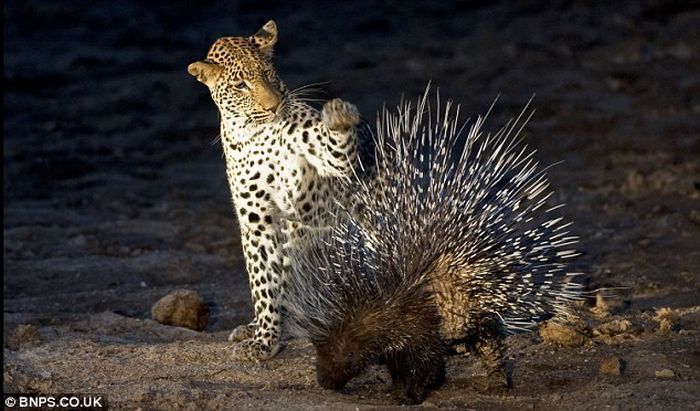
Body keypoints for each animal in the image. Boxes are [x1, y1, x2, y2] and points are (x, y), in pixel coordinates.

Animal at [189, 20, 370, 360]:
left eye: (268, 73)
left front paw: (339, 114)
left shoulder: (333, 164)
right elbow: (263, 281)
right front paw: (264, 338)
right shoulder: (256, 219)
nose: (273, 107)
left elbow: (335, 146)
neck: (258, 135)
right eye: (240, 86)